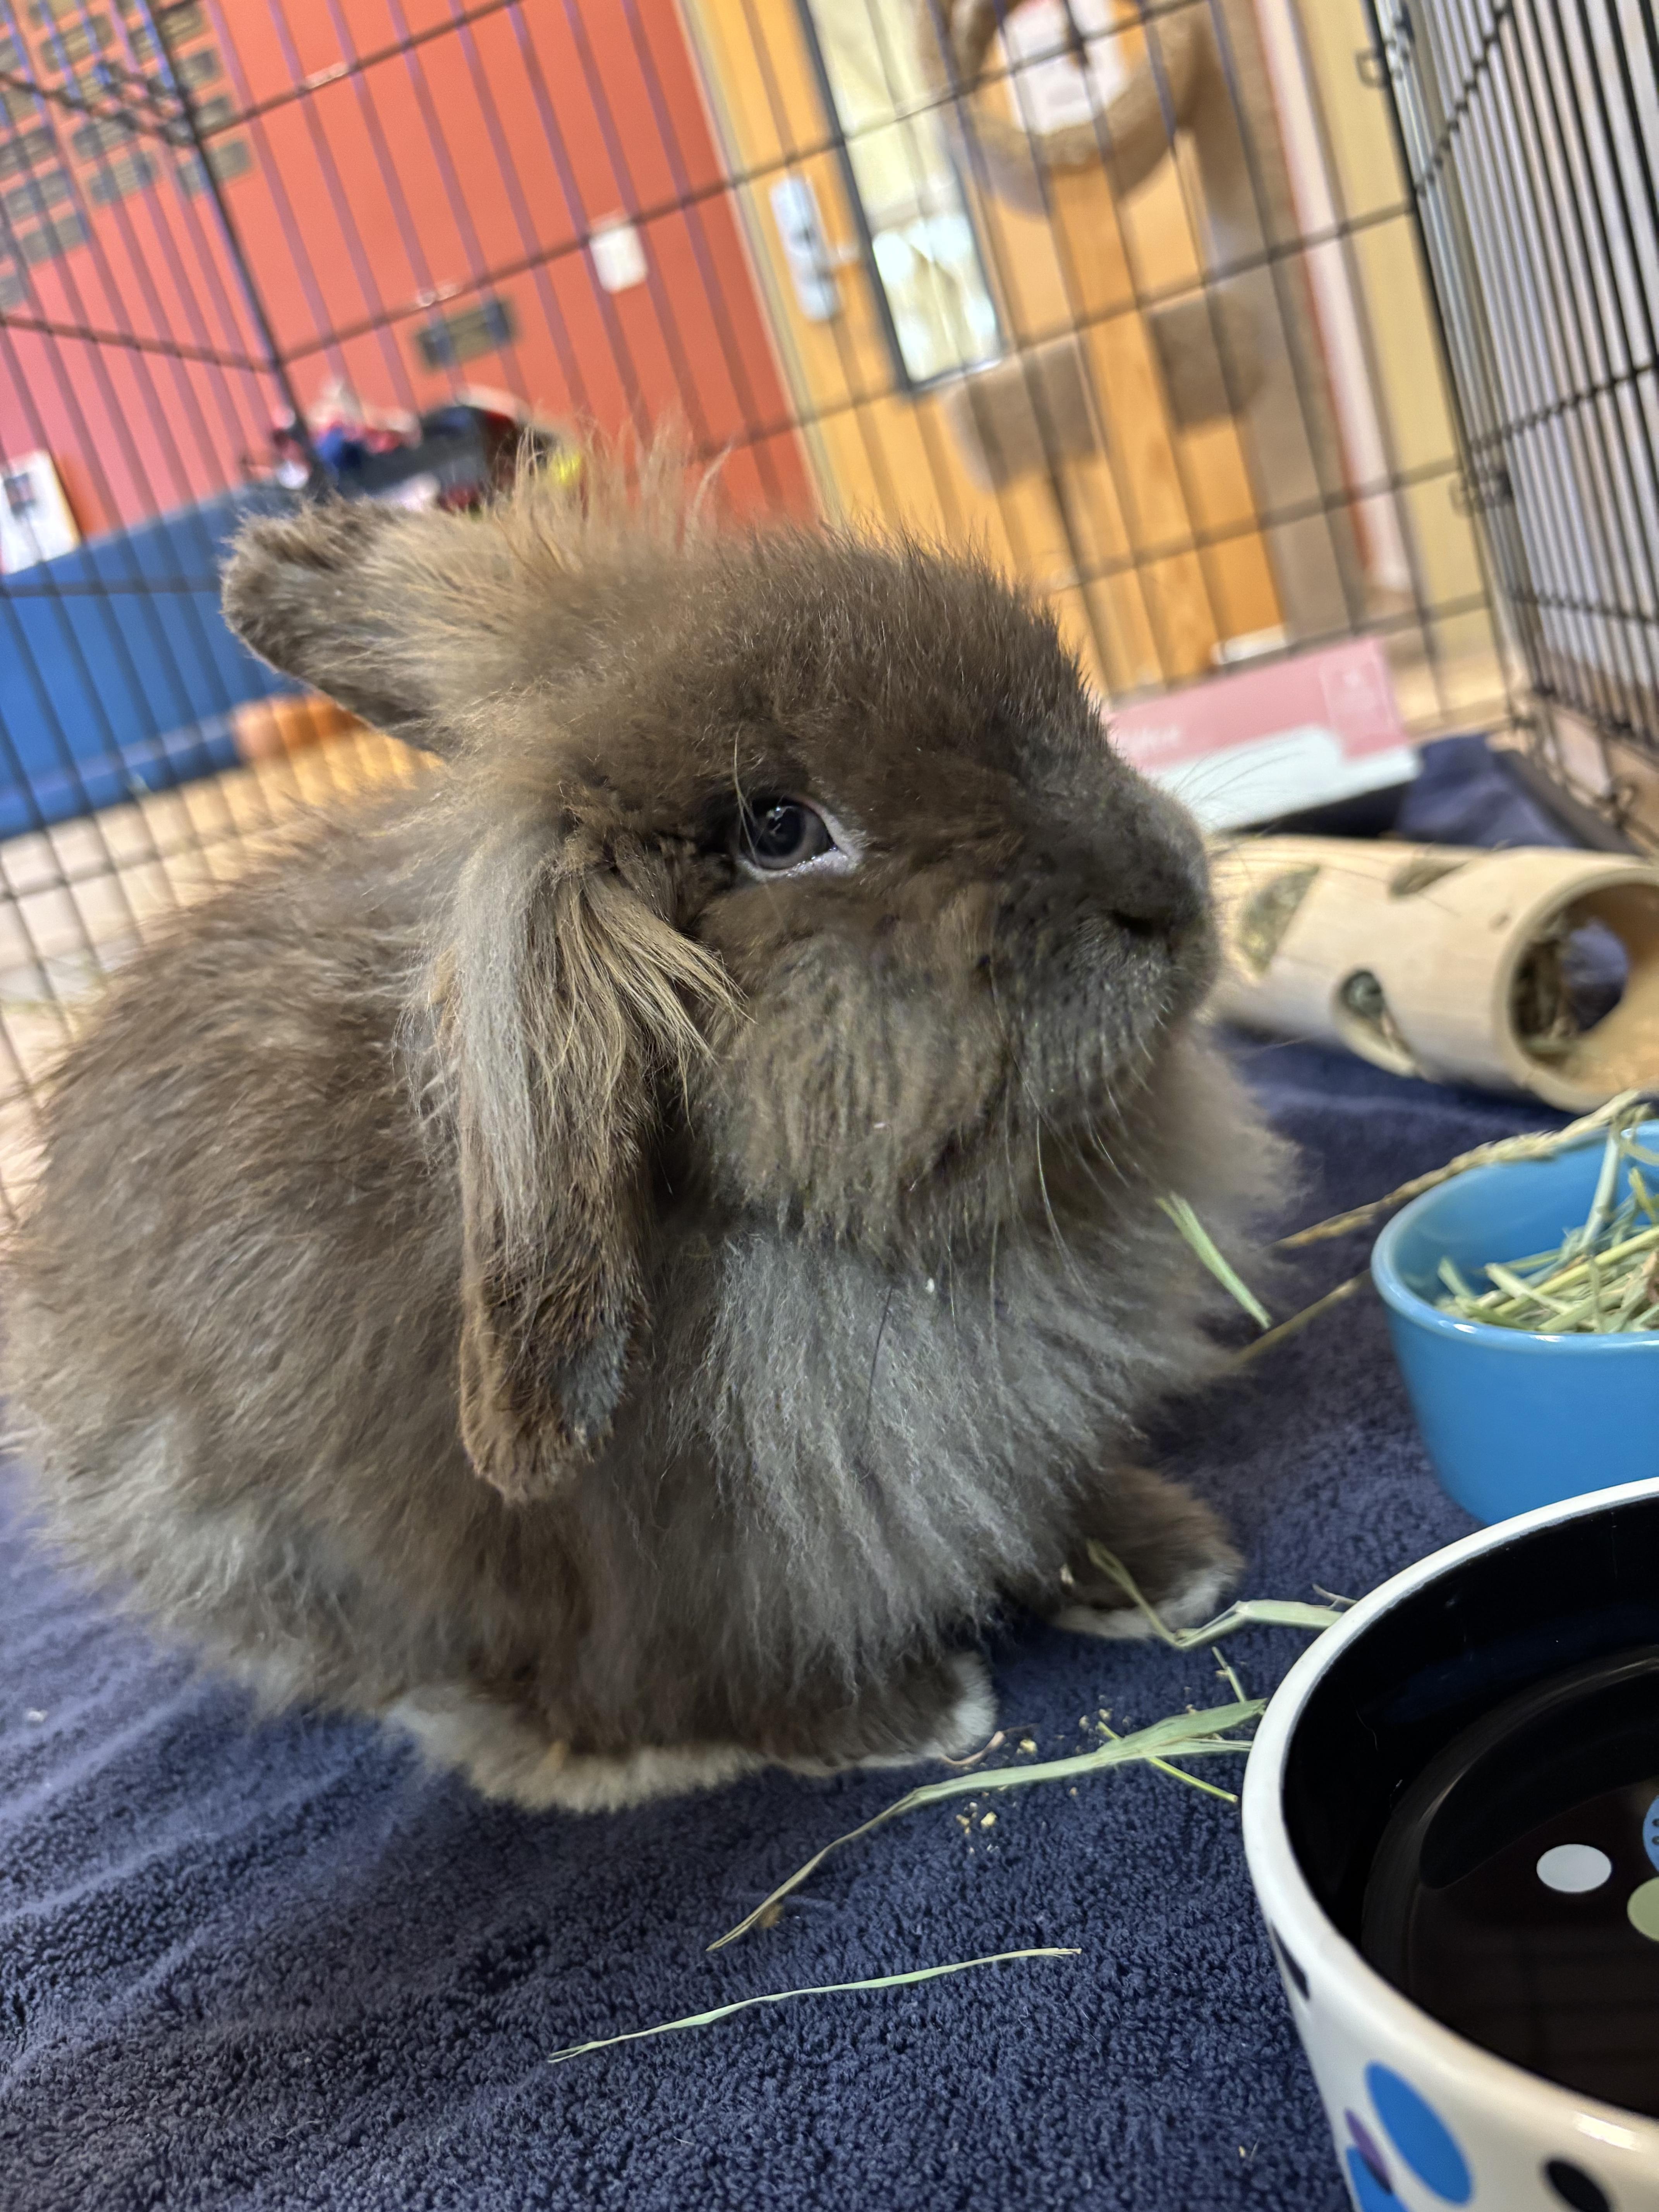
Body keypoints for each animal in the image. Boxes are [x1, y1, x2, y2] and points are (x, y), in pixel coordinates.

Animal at [2, 444, 1290, 1814]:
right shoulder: (635, 1568)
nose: (1167, 892)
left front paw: (1171, 1564)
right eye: (777, 828)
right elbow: (682, 1666)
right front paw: (900, 1712)